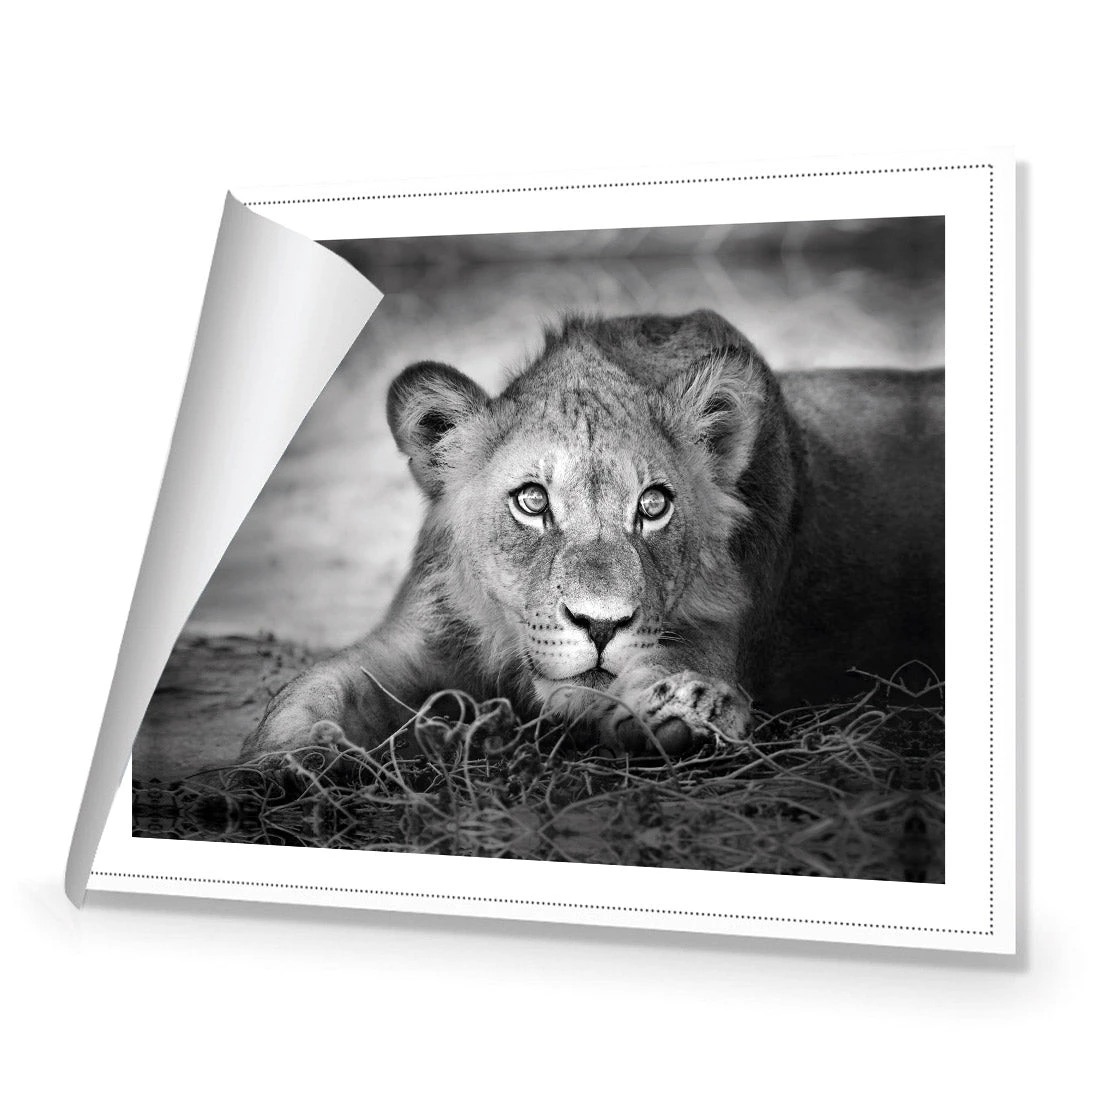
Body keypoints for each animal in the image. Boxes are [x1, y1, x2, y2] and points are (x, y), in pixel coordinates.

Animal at [241, 309, 944, 760]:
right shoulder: (417, 640)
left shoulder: (717, 634)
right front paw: (286, 758)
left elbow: (671, 669)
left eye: (653, 506)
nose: (600, 626)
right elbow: (312, 688)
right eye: (532, 502)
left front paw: (687, 709)